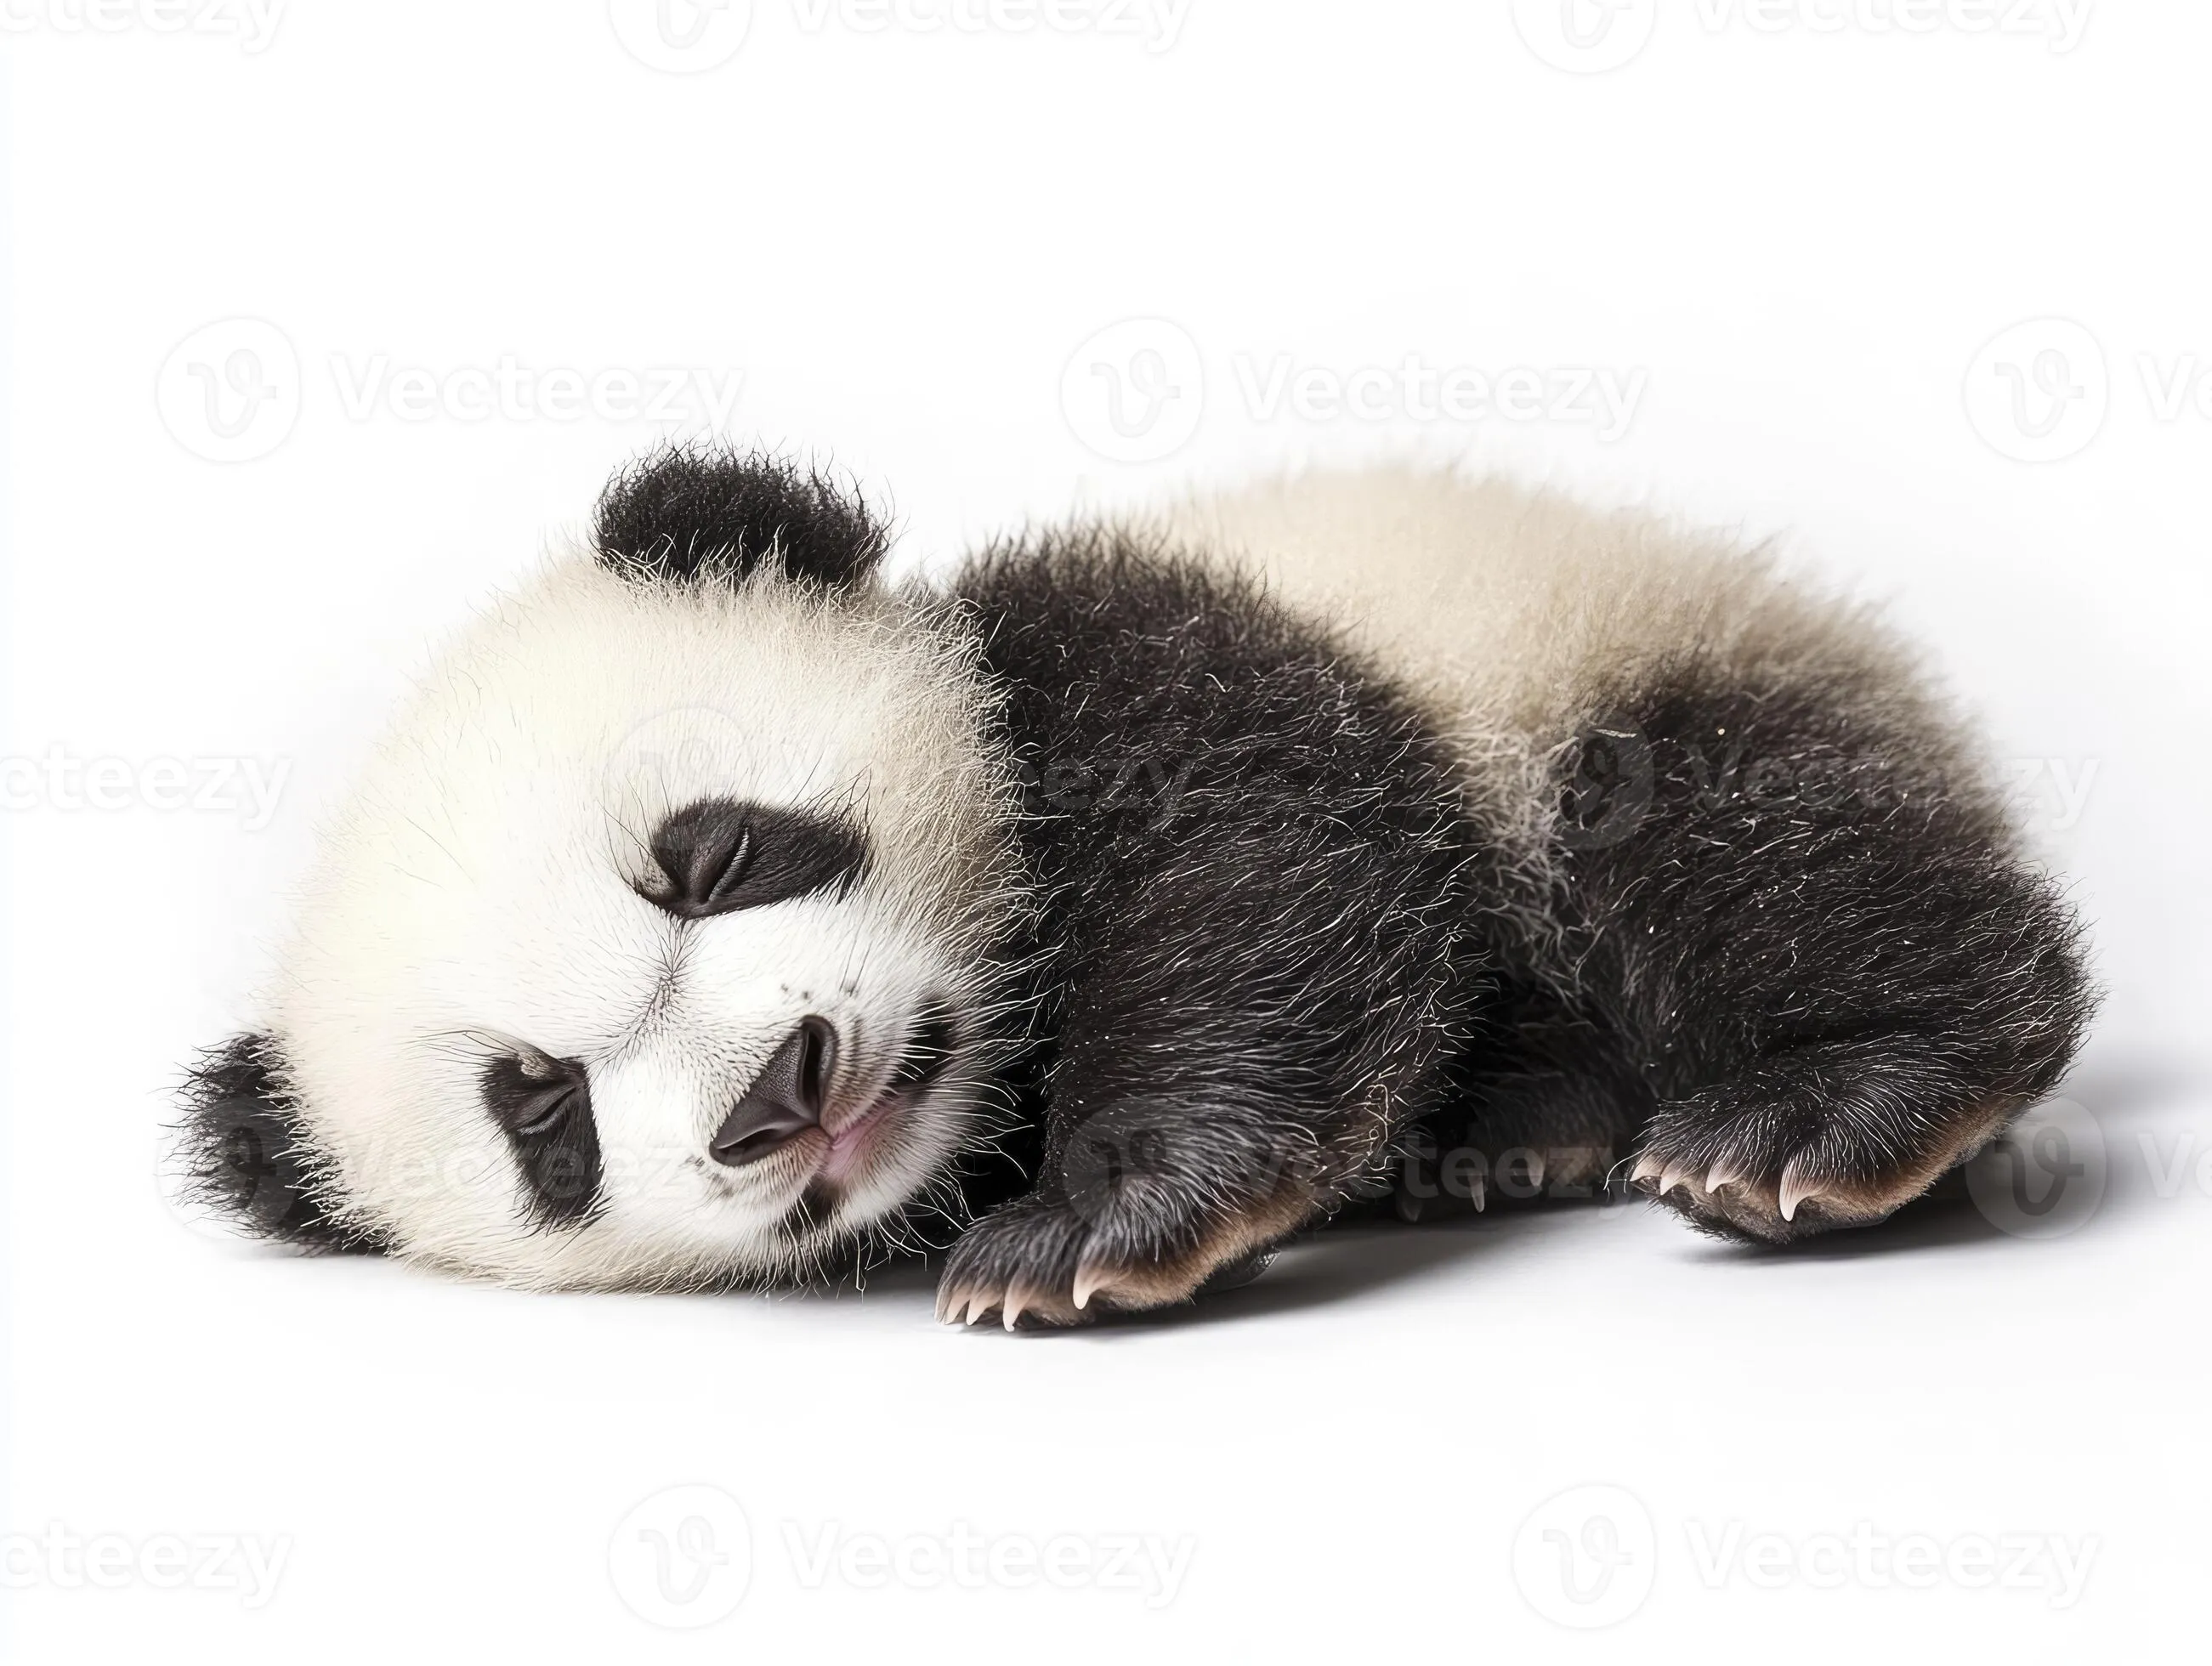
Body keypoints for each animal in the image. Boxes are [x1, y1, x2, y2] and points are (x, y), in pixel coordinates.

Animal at [178, 446, 2095, 1325]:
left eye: (707, 857)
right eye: (544, 1112)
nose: (782, 1094)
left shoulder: (1136, 655)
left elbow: (1266, 862)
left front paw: (1095, 1221)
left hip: (1614, 667)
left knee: (1736, 858)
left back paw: (1816, 1109)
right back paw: (1519, 1124)